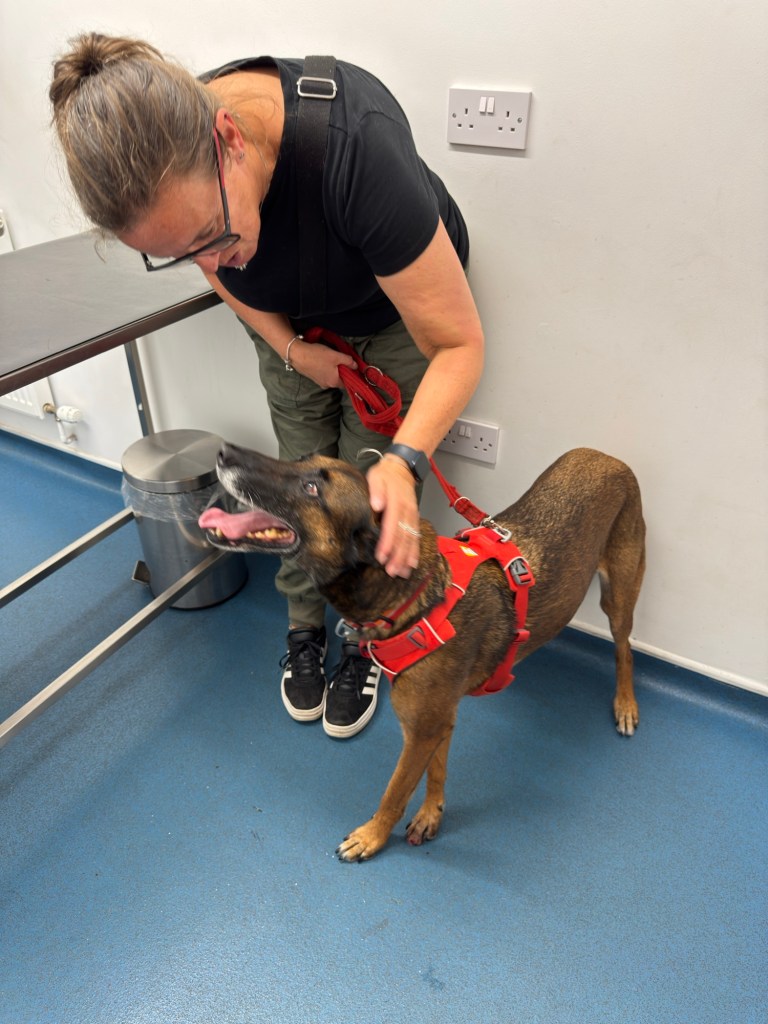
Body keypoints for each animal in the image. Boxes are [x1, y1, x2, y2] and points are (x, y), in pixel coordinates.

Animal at [200, 445, 645, 861]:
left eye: (312, 488)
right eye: (300, 461)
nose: (223, 451)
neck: (413, 598)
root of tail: (607, 457)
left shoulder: (420, 731)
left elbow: (395, 791)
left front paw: (372, 836)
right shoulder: (437, 722)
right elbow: (437, 771)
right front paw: (433, 813)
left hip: (618, 596)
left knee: (625, 650)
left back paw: (625, 704)